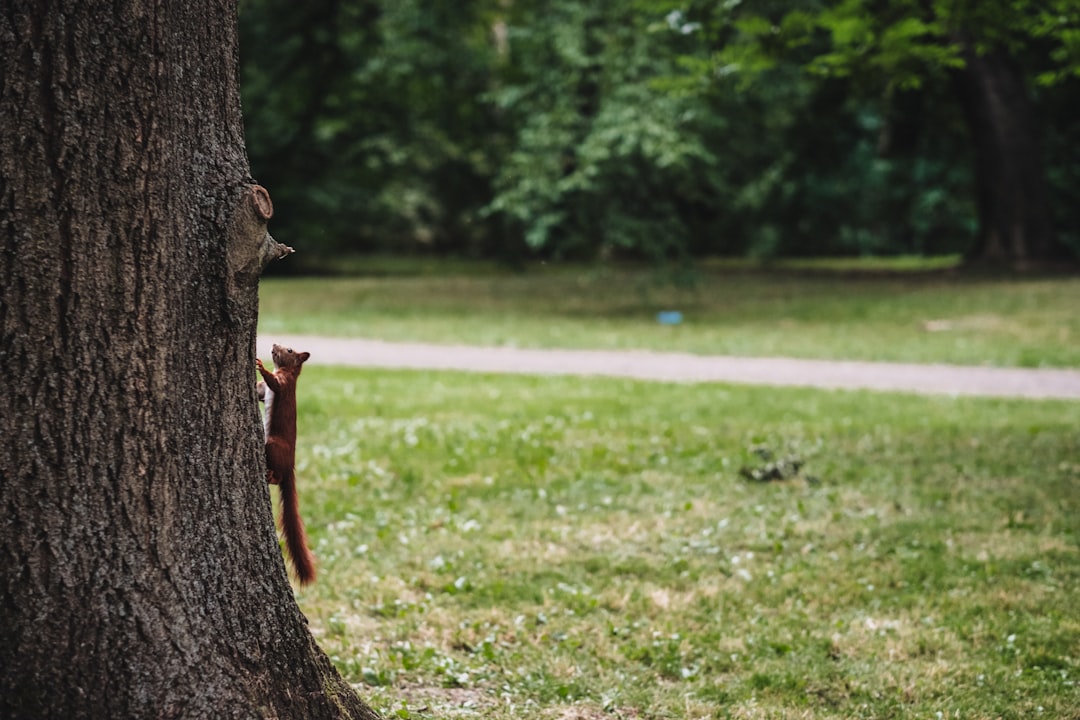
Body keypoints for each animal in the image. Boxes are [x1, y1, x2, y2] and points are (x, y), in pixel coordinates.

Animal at [254, 343, 315, 587]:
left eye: (289, 350)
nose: (273, 345)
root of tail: (290, 467)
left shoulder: (284, 384)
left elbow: (273, 383)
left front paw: (260, 366)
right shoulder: (267, 392)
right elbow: (262, 392)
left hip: (273, 445)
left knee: (278, 475)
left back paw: (271, 476)